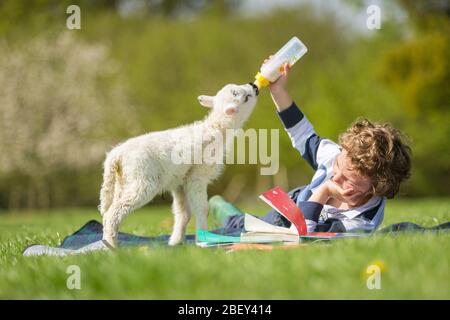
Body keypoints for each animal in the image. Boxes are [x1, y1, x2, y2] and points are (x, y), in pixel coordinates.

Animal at [100, 83, 258, 248]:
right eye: (245, 97)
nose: (253, 85)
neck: (215, 128)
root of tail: (115, 155)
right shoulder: (197, 176)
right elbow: (202, 209)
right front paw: (202, 240)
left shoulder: (180, 182)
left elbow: (183, 213)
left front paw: (175, 242)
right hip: (142, 181)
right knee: (114, 212)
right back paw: (111, 246)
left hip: (122, 182)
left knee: (108, 210)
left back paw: (107, 241)